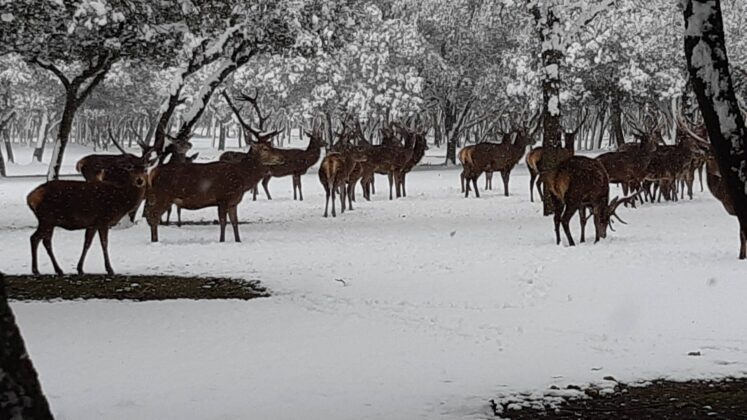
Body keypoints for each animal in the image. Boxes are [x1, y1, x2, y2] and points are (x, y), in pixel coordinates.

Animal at [146, 142, 284, 243]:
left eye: (271, 146)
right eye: (265, 149)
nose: (281, 158)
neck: (243, 179)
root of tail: (152, 173)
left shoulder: (233, 202)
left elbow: (235, 222)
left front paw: (238, 240)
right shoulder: (223, 198)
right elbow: (223, 222)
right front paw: (222, 240)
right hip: (162, 196)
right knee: (153, 216)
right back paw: (155, 241)